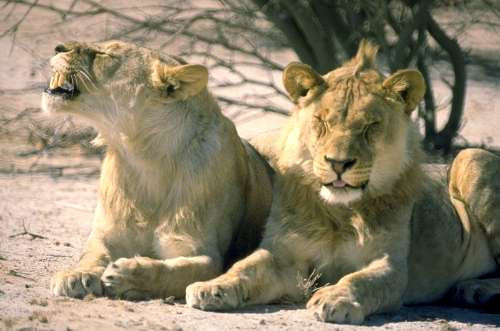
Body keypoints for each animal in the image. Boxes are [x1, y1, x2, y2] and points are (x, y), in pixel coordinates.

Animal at [43, 40, 274, 302]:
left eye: (105, 54)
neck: (146, 157)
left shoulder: (204, 255)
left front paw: (128, 275)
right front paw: (77, 274)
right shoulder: (104, 236)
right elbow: (91, 254)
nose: (57, 47)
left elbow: (173, 271)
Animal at [186, 39, 500, 324]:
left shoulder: (389, 265)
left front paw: (334, 298)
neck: (339, 212)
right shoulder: (284, 257)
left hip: (471, 157)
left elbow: (358, 280)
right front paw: (212, 287)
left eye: (370, 127)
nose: (338, 164)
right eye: (322, 122)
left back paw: (478, 289)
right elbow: (245, 267)